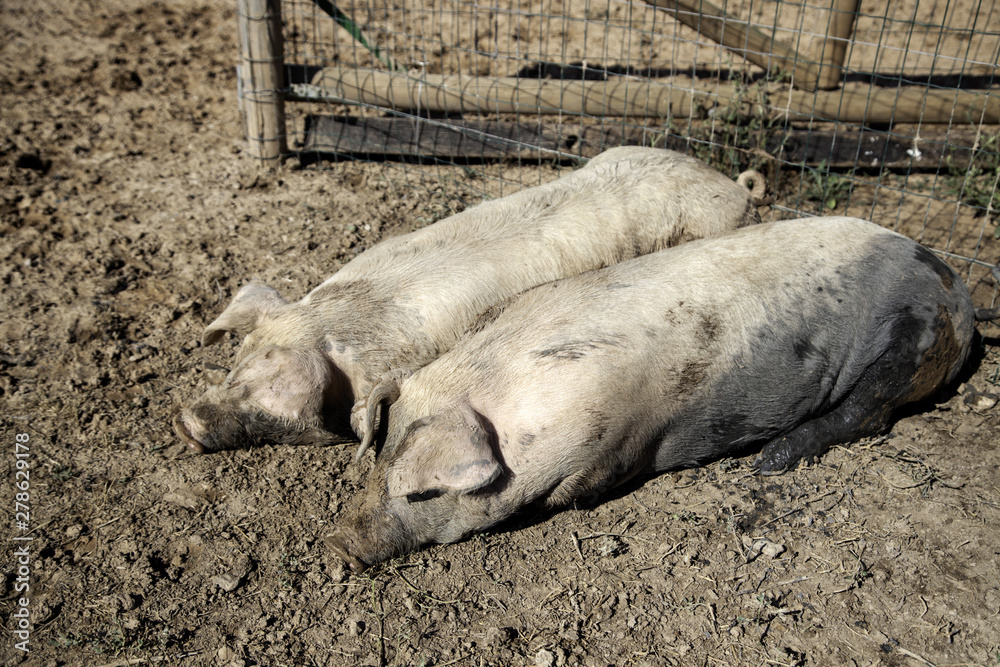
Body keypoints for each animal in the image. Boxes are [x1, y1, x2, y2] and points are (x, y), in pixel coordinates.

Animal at [328, 216, 997, 571]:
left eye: (423, 491)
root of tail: (960, 290)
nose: (341, 544)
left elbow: (574, 492)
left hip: (909, 341)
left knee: (869, 411)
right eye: (376, 461)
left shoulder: (615, 450)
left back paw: (768, 461)